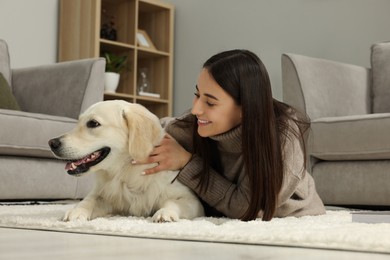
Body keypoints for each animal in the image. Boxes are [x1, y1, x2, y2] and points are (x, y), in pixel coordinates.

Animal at [48, 100, 204, 222]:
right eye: (78, 122)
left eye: (93, 123)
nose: (52, 143)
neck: (127, 170)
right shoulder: (104, 194)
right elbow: (89, 200)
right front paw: (76, 210)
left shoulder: (193, 201)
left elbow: (171, 201)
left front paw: (165, 213)